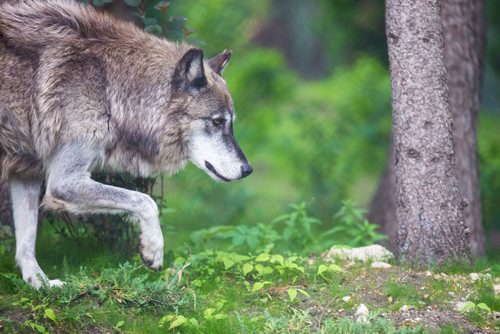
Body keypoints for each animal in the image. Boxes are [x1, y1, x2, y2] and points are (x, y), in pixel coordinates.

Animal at [0, 0, 250, 288]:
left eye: (231, 123)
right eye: (217, 122)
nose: (248, 169)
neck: (110, 89)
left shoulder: (27, 172)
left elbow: (26, 243)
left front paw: (40, 285)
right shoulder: (63, 182)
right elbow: (145, 200)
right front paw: (153, 250)